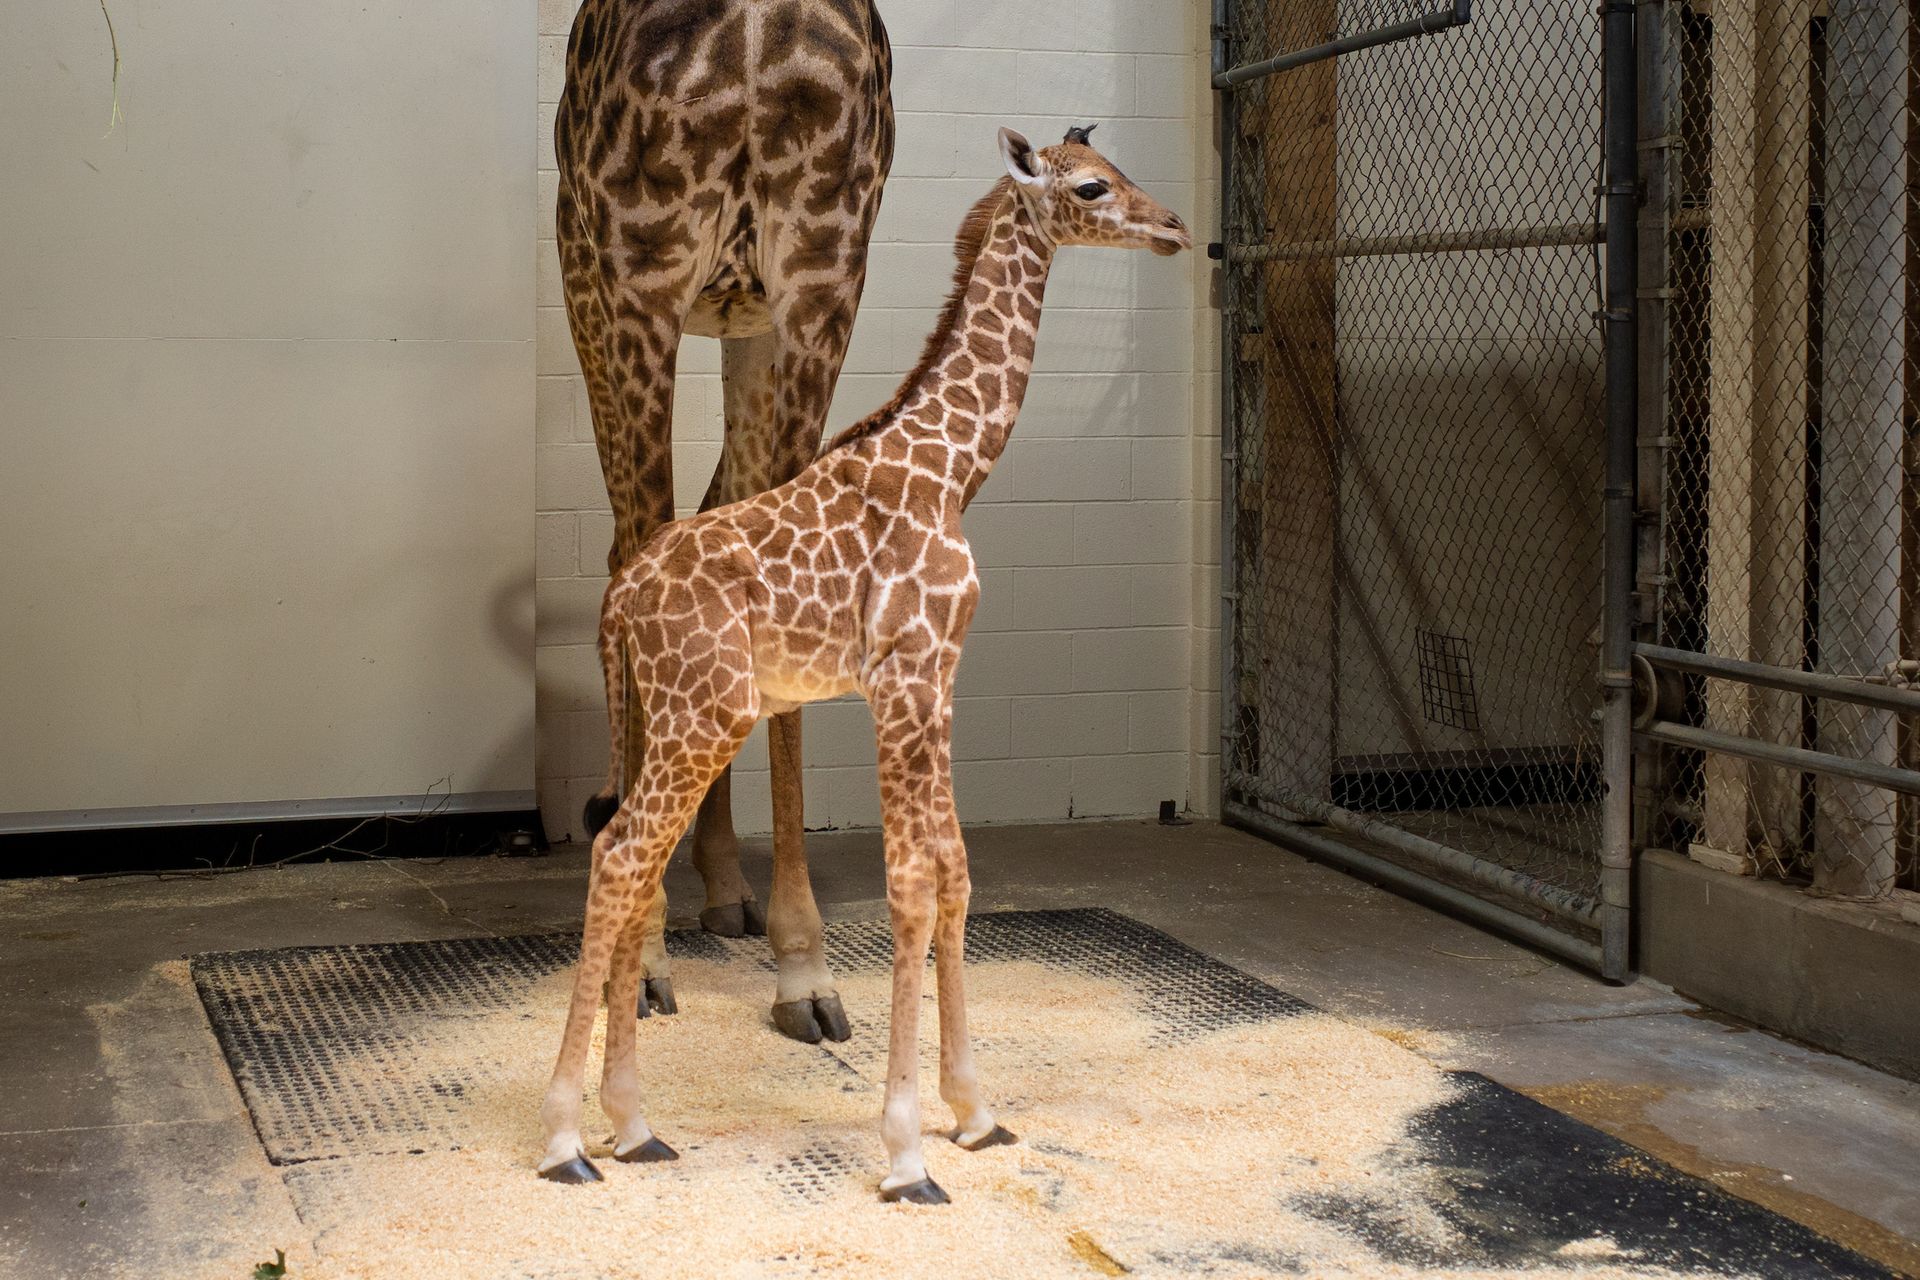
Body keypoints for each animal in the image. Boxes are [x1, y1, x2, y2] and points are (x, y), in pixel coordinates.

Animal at [538, 126, 1191, 1200]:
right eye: (1096, 188)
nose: (1175, 226)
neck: (955, 465)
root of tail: (619, 601)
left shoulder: (943, 675)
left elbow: (957, 871)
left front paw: (977, 1116)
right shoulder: (903, 678)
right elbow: (911, 886)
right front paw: (906, 1152)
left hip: (682, 718)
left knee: (632, 861)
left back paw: (633, 1128)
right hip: (704, 714)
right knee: (621, 854)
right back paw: (564, 1141)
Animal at [555, 0, 894, 1044]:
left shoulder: (821, 282)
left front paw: (805, 967)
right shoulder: (638, 274)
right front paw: (640, 954)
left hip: (722, 314)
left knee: (710, 539)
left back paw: (723, 887)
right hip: (598, 282)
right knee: (633, 549)